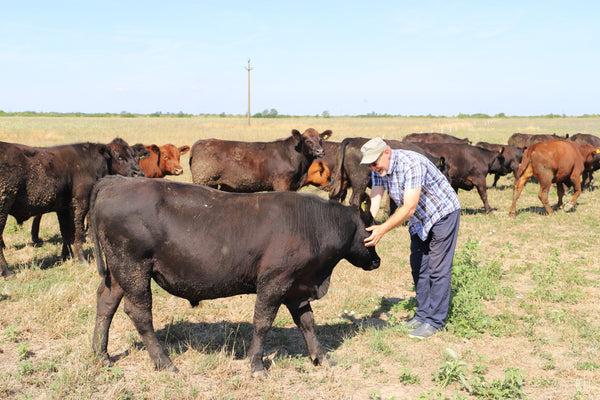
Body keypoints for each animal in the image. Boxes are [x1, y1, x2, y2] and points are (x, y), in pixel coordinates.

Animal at [0, 138, 144, 276]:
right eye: (119, 156)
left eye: (136, 156)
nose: (139, 173)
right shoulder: (79, 204)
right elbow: (77, 233)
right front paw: (82, 259)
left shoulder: (63, 208)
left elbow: (66, 232)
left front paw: (66, 256)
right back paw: (7, 272)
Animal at [90, 175, 380, 376]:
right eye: (371, 228)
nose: (377, 261)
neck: (313, 224)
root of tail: (116, 181)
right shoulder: (274, 283)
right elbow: (262, 323)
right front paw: (256, 366)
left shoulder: (297, 287)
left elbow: (307, 322)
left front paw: (321, 357)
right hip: (134, 269)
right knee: (139, 313)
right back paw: (164, 363)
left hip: (119, 274)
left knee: (106, 304)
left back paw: (100, 354)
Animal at [190, 127, 330, 191]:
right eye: (307, 140)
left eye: (321, 139)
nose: (320, 151)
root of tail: (200, 142)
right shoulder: (281, 184)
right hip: (203, 180)